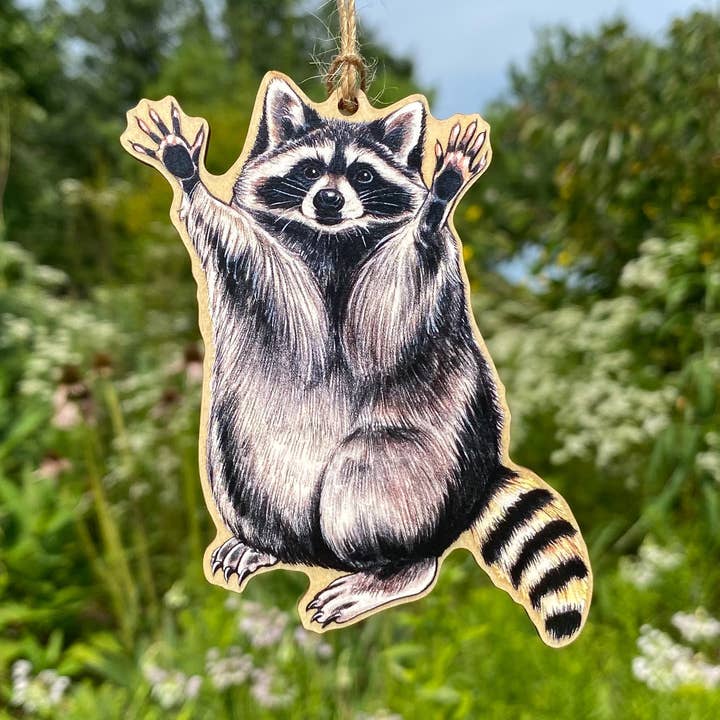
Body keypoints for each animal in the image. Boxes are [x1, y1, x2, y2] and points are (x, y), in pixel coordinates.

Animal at [125, 75, 592, 646]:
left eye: (363, 174)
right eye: (308, 170)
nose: (328, 199)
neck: (331, 239)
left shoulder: (405, 286)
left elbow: (387, 315)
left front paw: (436, 203)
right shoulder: (273, 265)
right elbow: (255, 263)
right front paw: (186, 174)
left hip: (427, 466)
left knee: (368, 472)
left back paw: (394, 569)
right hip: (237, 450)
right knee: (239, 460)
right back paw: (265, 543)